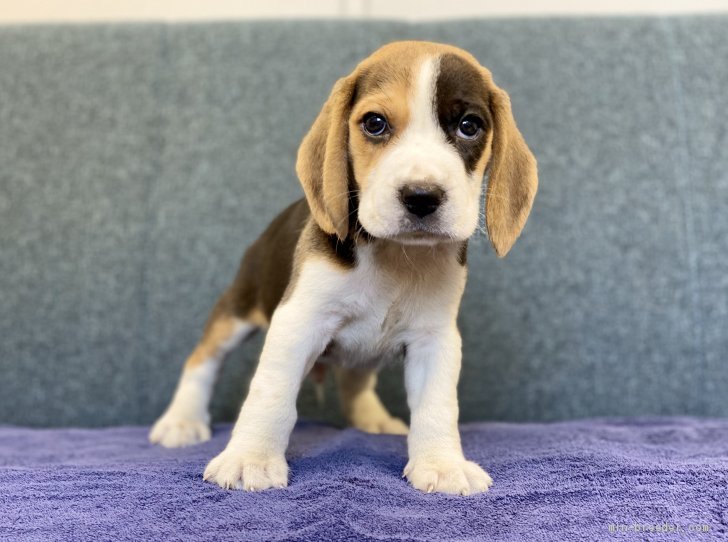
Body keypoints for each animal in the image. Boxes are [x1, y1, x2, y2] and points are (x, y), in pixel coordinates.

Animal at [149, 40, 536, 498]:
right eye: (375, 123)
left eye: (469, 126)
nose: (422, 196)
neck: (394, 255)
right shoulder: (298, 321)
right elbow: (270, 394)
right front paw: (251, 459)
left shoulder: (435, 337)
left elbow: (438, 405)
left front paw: (442, 464)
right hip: (239, 308)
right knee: (203, 359)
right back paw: (181, 421)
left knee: (355, 382)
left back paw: (371, 419)